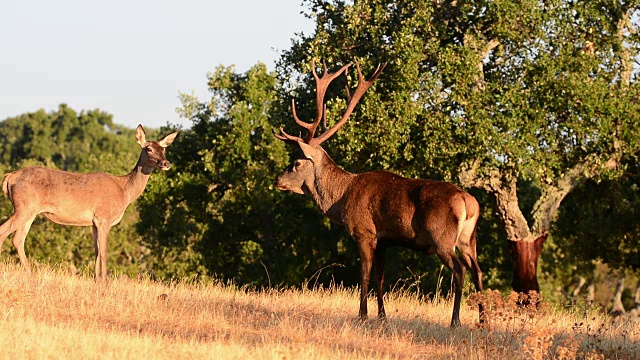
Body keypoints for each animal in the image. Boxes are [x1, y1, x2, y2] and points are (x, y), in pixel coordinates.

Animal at [0, 125, 178, 282]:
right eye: (148, 149)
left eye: (164, 149)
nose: (166, 163)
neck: (124, 191)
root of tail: (10, 177)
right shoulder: (104, 218)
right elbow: (104, 252)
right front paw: (105, 282)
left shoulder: (94, 223)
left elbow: (96, 251)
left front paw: (96, 280)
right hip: (24, 207)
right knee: (4, 231)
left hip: (30, 211)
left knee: (18, 239)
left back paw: (30, 275)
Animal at [272, 60, 482, 328]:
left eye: (297, 163)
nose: (278, 180)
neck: (342, 198)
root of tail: (468, 201)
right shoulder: (384, 240)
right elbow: (379, 278)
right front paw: (382, 315)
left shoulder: (364, 232)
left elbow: (364, 275)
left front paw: (362, 314)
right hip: (468, 238)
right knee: (477, 270)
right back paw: (484, 319)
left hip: (442, 236)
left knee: (459, 270)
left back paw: (455, 320)